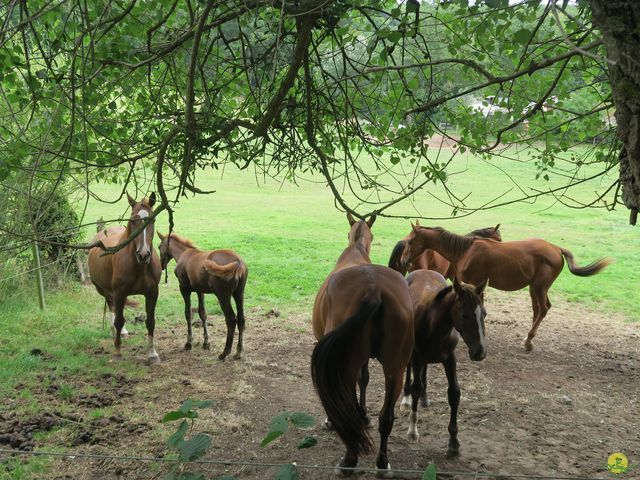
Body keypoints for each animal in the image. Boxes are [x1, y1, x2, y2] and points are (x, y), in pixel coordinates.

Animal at [87, 193, 161, 362]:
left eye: (153, 220)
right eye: (133, 220)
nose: (143, 255)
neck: (139, 266)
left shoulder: (152, 293)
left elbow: (150, 322)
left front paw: (152, 354)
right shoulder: (120, 293)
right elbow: (119, 320)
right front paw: (117, 352)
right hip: (105, 290)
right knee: (111, 307)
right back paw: (114, 331)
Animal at [158, 232, 248, 360]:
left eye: (159, 246)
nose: (161, 265)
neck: (183, 254)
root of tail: (238, 261)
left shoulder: (184, 289)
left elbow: (188, 314)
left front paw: (189, 343)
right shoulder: (200, 291)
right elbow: (202, 314)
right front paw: (206, 342)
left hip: (223, 296)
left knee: (231, 320)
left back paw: (224, 353)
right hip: (239, 293)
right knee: (241, 319)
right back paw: (238, 352)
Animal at [312, 215, 416, 476]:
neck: (356, 250)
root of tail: (373, 290)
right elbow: (365, 379)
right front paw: (365, 414)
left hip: (345, 364)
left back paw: (349, 459)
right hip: (395, 368)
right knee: (386, 417)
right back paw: (382, 462)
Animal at [398, 227, 612, 350]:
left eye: (410, 241)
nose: (404, 261)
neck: (465, 250)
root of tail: (557, 249)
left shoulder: (475, 285)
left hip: (539, 287)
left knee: (543, 309)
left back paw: (528, 341)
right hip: (534, 288)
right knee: (538, 310)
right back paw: (528, 340)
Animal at [402, 270, 488, 458]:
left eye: (484, 314)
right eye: (464, 315)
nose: (480, 352)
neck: (434, 326)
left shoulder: (449, 358)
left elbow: (454, 393)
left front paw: (454, 442)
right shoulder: (417, 357)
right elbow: (415, 388)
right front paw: (412, 431)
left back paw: (425, 398)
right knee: (409, 372)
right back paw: (405, 399)